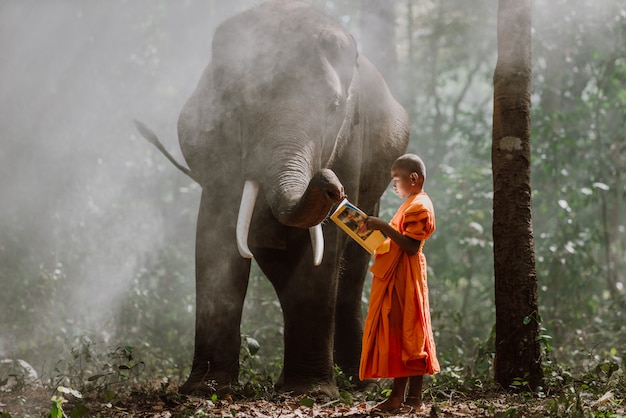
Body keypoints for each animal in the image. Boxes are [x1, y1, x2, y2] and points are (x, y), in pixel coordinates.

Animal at [134, 0, 408, 398]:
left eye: (334, 106)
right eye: (240, 102)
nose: (332, 187)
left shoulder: (350, 145)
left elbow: (324, 248)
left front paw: (310, 392)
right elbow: (215, 237)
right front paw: (204, 389)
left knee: (353, 268)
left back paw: (361, 381)